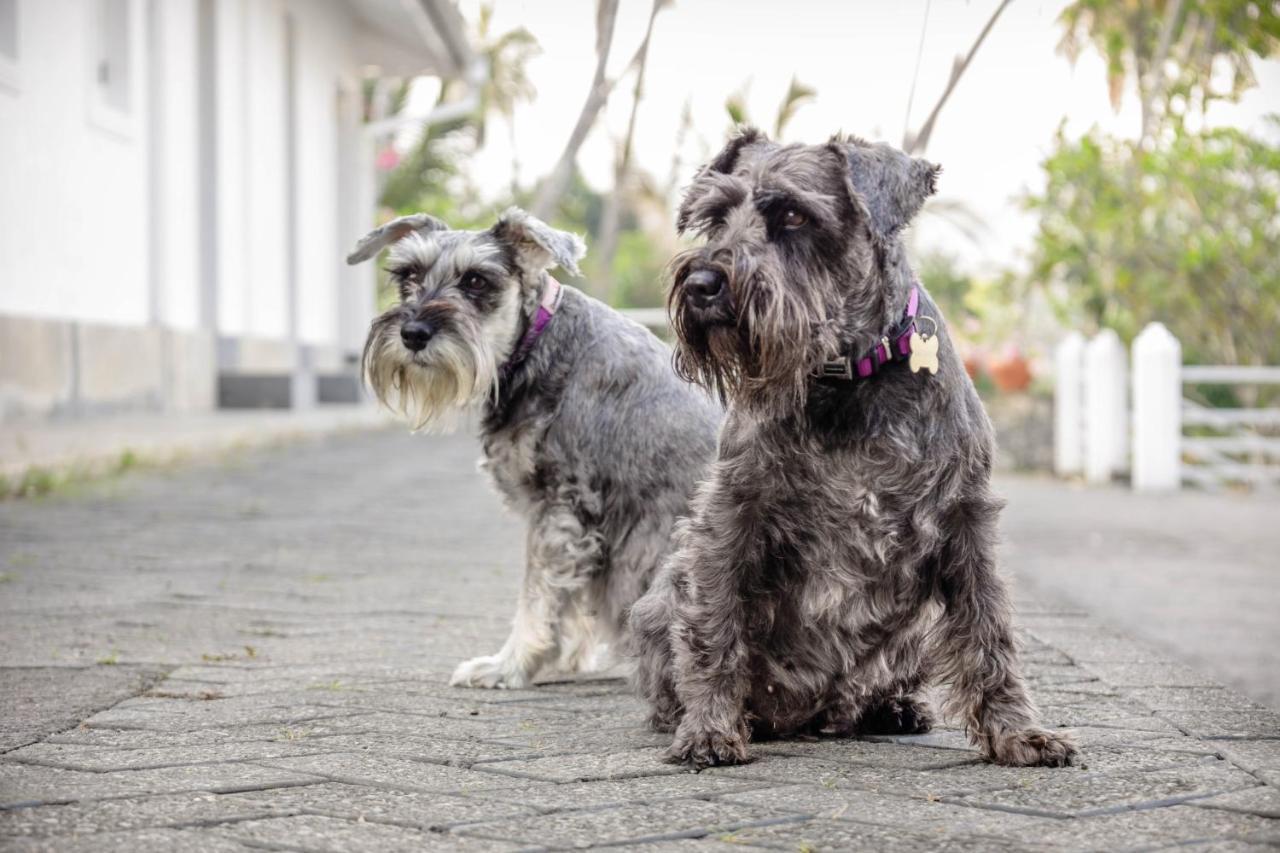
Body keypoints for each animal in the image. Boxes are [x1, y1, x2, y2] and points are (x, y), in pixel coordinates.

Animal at [345, 208, 727, 686]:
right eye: (407, 274)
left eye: (476, 280)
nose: (413, 333)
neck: (537, 344)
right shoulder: (582, 528)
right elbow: (569, 600)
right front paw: (560, 657)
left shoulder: (560, 507)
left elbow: (537, 594)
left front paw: (509, 664)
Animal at [629, 129, 1080, 768]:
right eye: (715, 217)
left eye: (794, 215)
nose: (701, 285)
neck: (845, 378)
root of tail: (813, 716)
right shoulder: (729, 518)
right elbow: (715, 624)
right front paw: (710, 729)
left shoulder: (965, 519)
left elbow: (988, 630)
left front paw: (1019, 733)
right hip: (660, 600)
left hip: (909, 639)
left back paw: (893, 708)